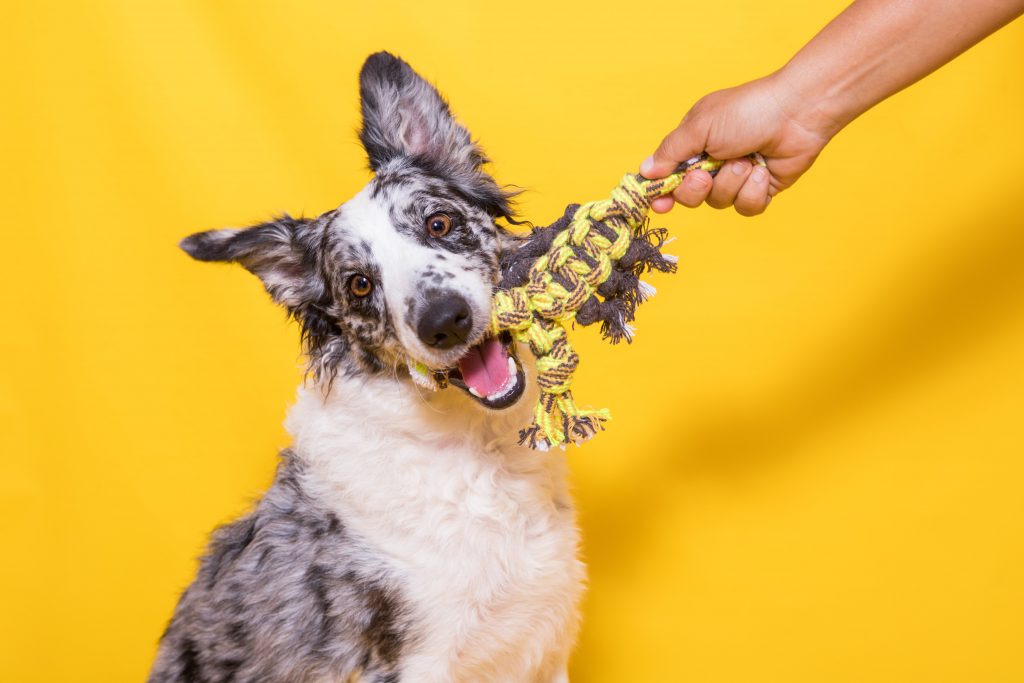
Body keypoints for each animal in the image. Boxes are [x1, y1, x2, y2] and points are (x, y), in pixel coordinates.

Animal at [149, 53, 589, 683]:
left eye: (439, 224)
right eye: (359, 284)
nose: (444, 321)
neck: (480, 456)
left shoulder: (546, 650)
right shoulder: (414, 665)